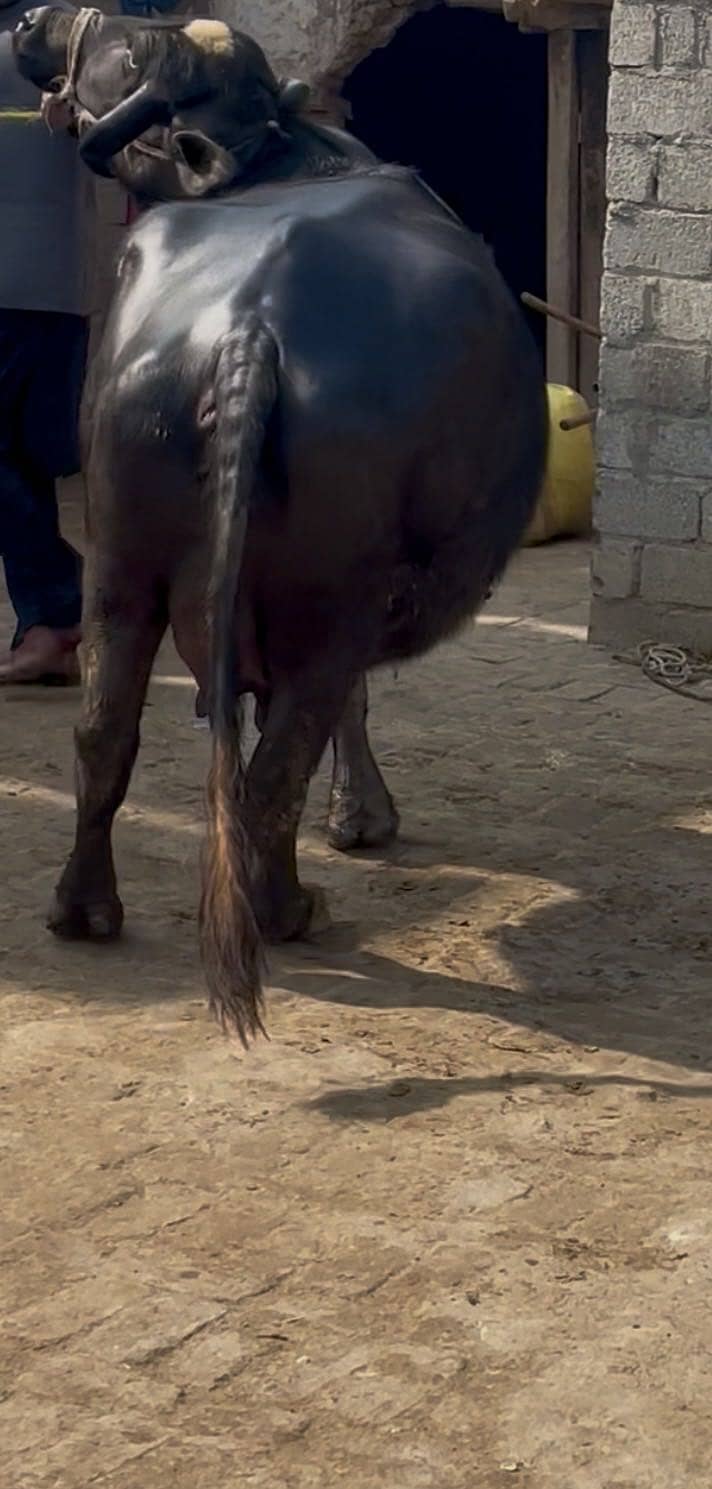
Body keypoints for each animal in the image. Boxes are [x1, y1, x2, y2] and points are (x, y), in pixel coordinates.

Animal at [14, 8, 548, 1043]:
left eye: (129, 52)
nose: (32, 18)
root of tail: (245, 329)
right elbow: (347, 711)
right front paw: (366, 819)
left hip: (121, 559)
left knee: (105, 731)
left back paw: (83, 908)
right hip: (330, 604)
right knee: (275, 766)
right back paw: (287, 909)